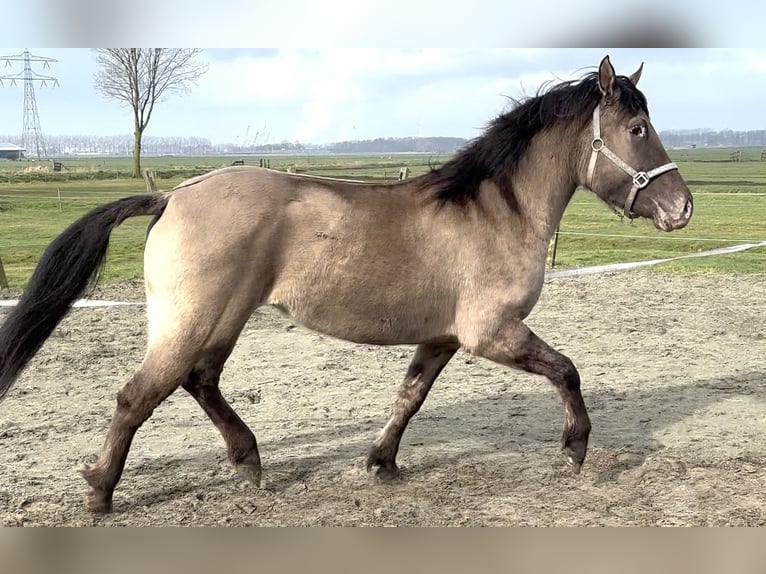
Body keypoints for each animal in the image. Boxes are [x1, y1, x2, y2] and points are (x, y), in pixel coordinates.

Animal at [0, 56, 696, 512]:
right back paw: (100, 490)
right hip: (190, 320)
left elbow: (409, 396)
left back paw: (248, 462)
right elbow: (568, 371)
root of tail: (172, 194)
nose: (682, 208)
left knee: (199, 382)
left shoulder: (442, 337)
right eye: (638, 130)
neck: (496, 210)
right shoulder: (491, 332)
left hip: (223, 319)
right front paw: (575, 448)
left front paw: (382, 463)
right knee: (138, 395)